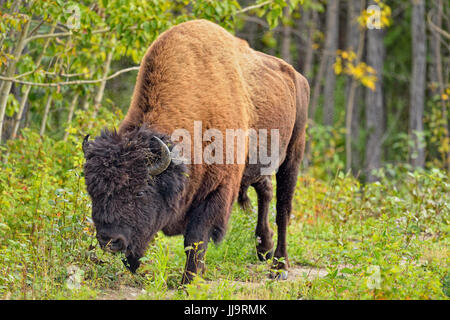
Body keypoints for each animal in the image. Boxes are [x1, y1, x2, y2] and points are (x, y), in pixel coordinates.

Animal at [82, 19, 310, 284]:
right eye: (93, 191)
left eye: (139, 192)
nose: (110, 240)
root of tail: (298, 78)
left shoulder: (216, 191)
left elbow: (195, 239)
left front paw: (189, 281)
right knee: (265, 189)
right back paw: (264, 249)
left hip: (293, 153)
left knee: (283, 208)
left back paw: (279, 267)